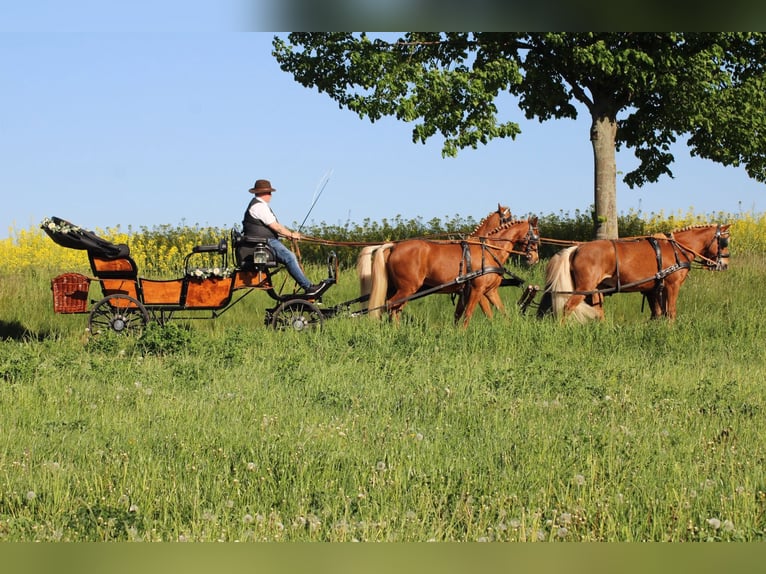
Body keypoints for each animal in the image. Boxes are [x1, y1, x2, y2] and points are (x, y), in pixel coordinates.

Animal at [366, 215, 540, 327]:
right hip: (408, 288)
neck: (489, 249)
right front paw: (462, 335)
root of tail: (394, 246)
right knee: (390, 306)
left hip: (398, 289)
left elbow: (497, 313)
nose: (535, 258)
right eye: (536, 235)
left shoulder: (488, 291)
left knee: (395, 308)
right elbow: (468, 314)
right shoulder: (477, 290)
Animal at [537, 223, 731, 322]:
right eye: (724, 241)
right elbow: (670, 311)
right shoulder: (672, 285)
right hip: (585, 288)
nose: (725, 264)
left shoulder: (653, 289)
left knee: (598, 311)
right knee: (567, 307)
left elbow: (657, 312)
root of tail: (578, 248)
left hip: (595, 290)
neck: (677, 249)